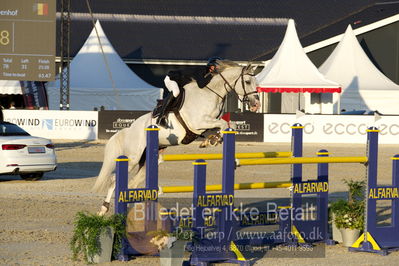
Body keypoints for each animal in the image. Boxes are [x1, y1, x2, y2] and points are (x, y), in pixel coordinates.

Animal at [94, 60, 262, 214]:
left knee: (133, 184)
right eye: (248, 82)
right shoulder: (198, 122)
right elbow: (222, 123)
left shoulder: (204, 126)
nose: (256, 105)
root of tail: (129, 129)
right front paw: (213, 140)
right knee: (114, 181)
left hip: (149, 160)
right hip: (133, 157)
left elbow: (227, 124)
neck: (211, 93)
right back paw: (104, 209)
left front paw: (211, 141)